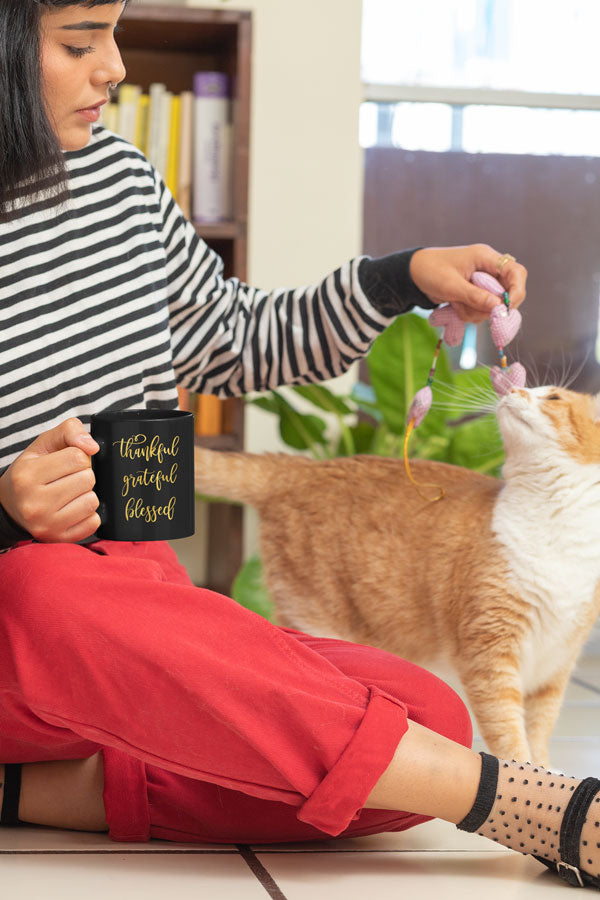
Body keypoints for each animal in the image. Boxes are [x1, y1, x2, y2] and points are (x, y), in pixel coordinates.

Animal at [193, 386, 600, 768]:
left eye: (553, 397)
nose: (512, 389)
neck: (556, 524)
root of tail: (307, 467)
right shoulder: (489, 653)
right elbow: (509, 732)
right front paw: (524, 776)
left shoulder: (556, 664)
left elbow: (540, 728)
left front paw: (548, 771)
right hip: (320, 620)